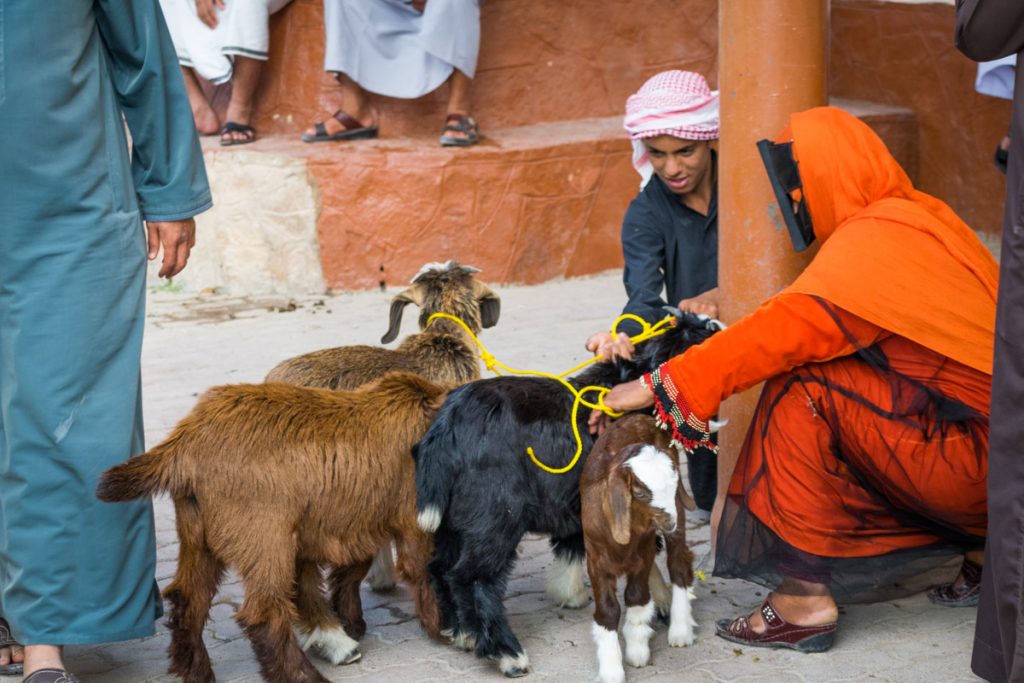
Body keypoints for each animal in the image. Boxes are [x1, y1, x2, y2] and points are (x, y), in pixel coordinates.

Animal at [96, 374, 448, 683]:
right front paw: (445, 627)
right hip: (265, 539)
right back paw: (303, 675)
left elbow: (348, 570)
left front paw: (347, 624)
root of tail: (186, 439)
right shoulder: (407, 520)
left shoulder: (355, 519)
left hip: (200, 536)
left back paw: (197, 672)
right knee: (263, 614)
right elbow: (422, 568)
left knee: (187, 600)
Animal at [411, 311, 716, 679]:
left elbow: (576, 544)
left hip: (452, 521)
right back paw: (507, 653)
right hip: (495, 517)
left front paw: (570, 593)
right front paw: (662, 603)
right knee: (473, 576)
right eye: (697, 343)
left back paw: (461, 633)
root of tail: (447, 426)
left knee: (440, 568)